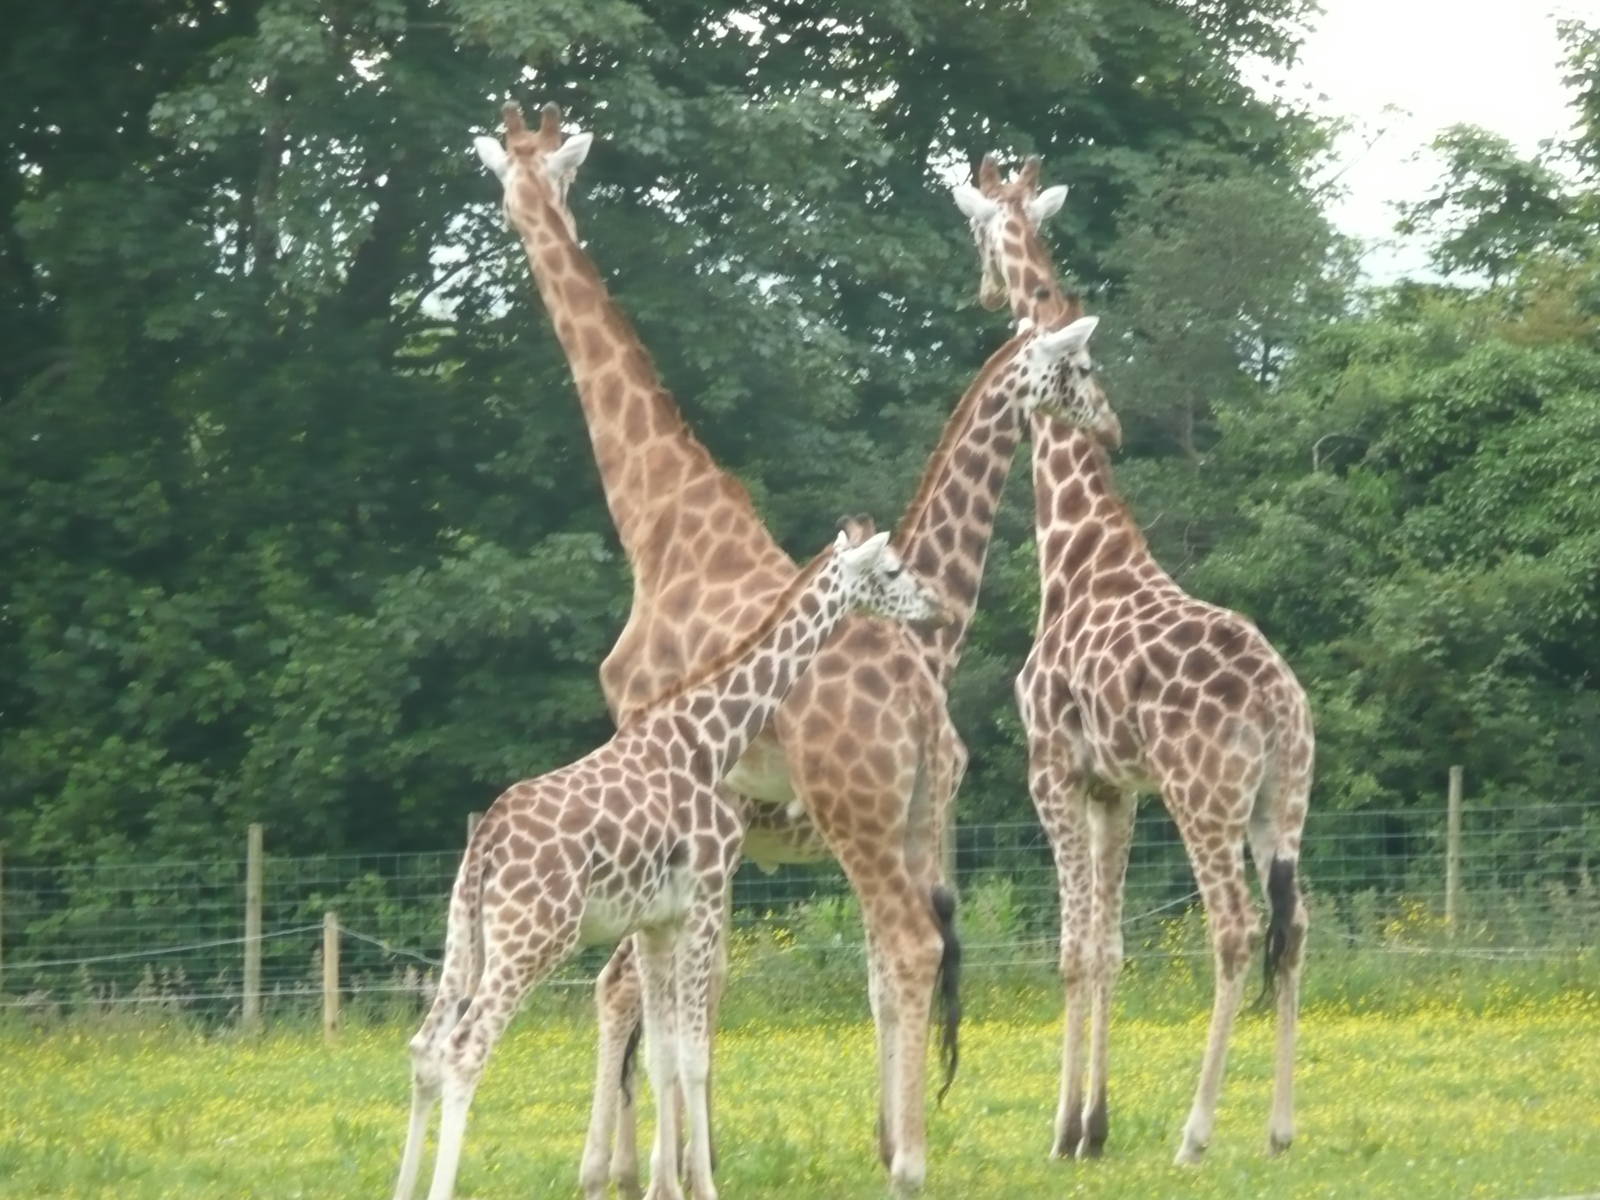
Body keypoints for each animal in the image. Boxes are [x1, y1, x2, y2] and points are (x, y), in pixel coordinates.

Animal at [392, 527, 947, 1200]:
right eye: (892, 571)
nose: (934, 607)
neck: (711, 740)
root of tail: (487, 841)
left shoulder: (656, 922)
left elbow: (662, 1055)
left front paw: (670, 1184)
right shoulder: (703, 898)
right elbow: (694, 1054)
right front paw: (701, 1185)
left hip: (466, 935)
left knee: (425, 1047)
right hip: (533, 936)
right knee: (465, 1049)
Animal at [473, 101, 1076, 1193]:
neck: (661, 519)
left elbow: (681, 1000)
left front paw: (671, 1167)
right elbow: (683, 998)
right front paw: (671, 1163)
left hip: (860, 823)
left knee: (868, 955)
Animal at [952, 155, 1314, 1164]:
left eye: (976, 230)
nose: (983, 290)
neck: (1075, 545)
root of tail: (1280, 707)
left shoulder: (1052, 769)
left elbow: (1074, 950)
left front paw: (1060, 1131)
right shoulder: (1115, 786)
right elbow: (1110, 948)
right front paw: (1093, 1127)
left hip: (1205, 796)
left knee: (1234, 929)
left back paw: (1196, 1133)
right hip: (1283, 798)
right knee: (1296, 926)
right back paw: (1277, 1130)